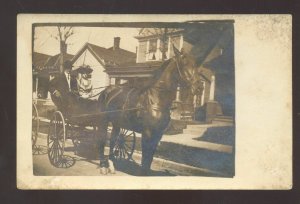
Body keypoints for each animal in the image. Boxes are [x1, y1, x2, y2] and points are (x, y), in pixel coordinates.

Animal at [97, 46, 203, 175]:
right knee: (102, 139)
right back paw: (103, 166)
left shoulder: (158, 134)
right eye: (184, 63)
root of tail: (107, 90)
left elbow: (150, 157)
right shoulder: (147, 133)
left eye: (195, 65)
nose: (199, 88)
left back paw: (112, 165)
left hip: (117, 123)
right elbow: (145, 157)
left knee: (113, 140)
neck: (156, 98)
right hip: (103, 120)